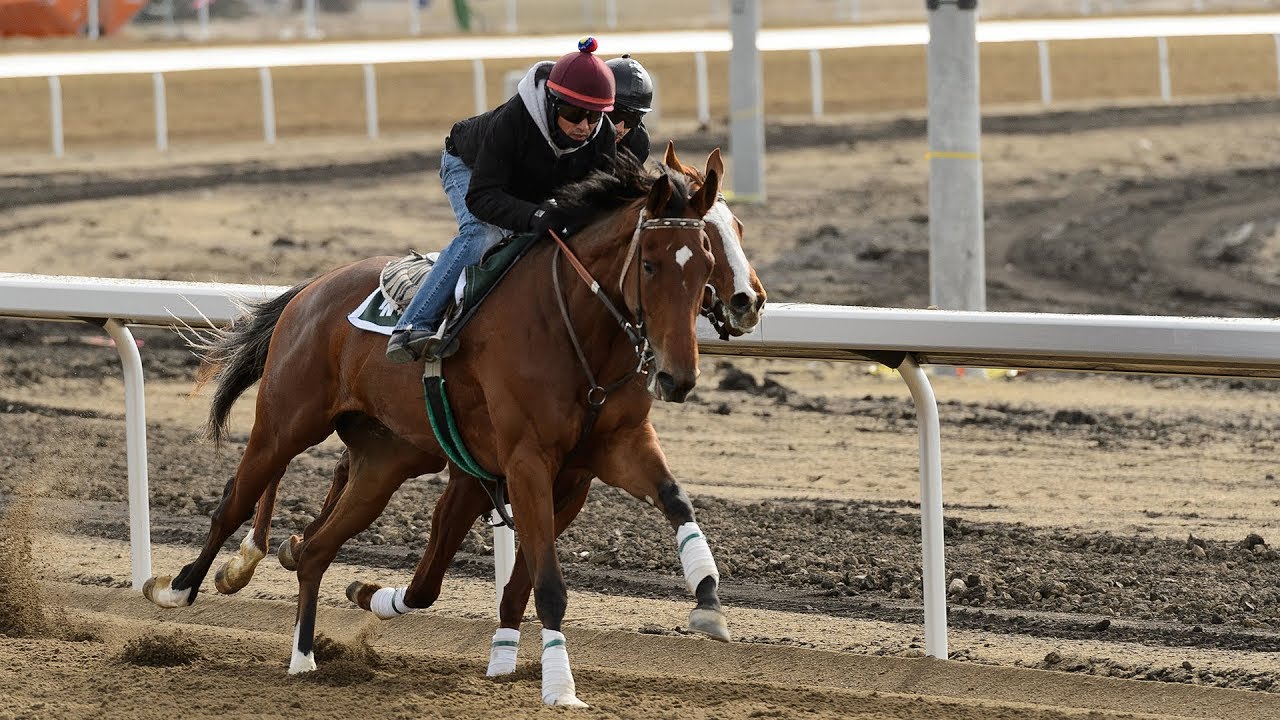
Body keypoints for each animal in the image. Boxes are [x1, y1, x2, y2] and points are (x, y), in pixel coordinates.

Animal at [144, 151, 731, 707]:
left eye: (705, 265)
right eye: (650, 265)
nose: (677, 376)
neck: (576, 330)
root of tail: (312, 287)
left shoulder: (610, 450)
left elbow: (675, 500)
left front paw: (708, 600)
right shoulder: (526, 460)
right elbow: (546, 585)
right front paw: (560, 688)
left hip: (383, 463)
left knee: (317, 549)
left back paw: (304, 656)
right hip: (284, 424)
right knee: (234, 501)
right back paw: (179, 587)